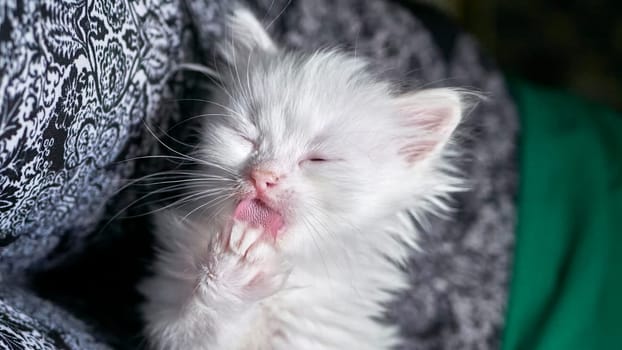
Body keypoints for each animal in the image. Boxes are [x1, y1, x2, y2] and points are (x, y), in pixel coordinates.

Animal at [141, 6, 468, 350]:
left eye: (317, 159)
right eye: (246, 137)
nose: (263, 175)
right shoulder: (165, 316)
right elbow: (198, 323)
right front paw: (231, 270)